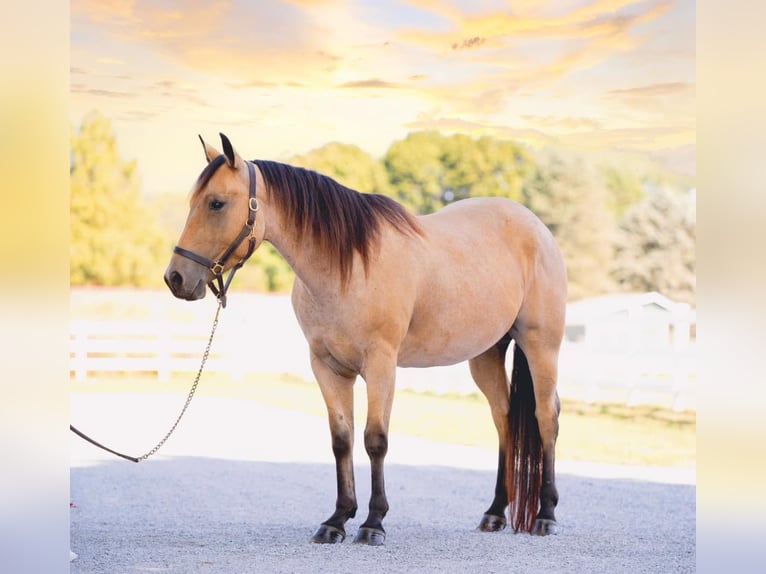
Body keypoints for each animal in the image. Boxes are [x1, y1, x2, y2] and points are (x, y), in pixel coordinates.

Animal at [164, 133, 568, 548]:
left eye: (216, 202)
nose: (176, 278)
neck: (349, 266)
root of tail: (537, 227)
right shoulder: (327, 367)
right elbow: (341, 439)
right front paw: (337, 520)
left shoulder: (381, 364)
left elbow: (376, 440)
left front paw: (373, 522)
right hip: (486, 354)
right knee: (503, 418)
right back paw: (495, 512)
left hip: (542, 345)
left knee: (546, 417)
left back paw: (546, 515)